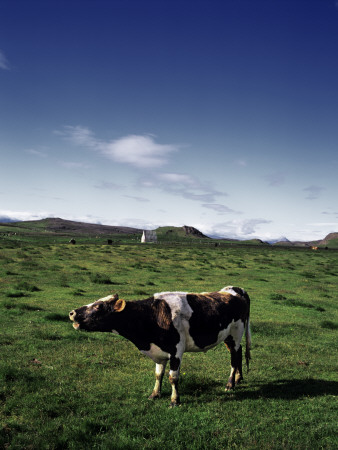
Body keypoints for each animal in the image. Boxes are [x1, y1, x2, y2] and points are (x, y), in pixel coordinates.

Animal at [69, 286, 251, 406]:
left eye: (99, 306)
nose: (72, 312)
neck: (151, 316)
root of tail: (234, 290)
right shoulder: (159, 352)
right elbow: (158, 375)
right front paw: (155, 394)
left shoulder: (176, 351)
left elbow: (173, 377)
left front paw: (174, 401)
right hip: (227, 337)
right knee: (239, 352)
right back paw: (238, 378)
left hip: (236, 333)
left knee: (234, 357)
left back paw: (230, 384)